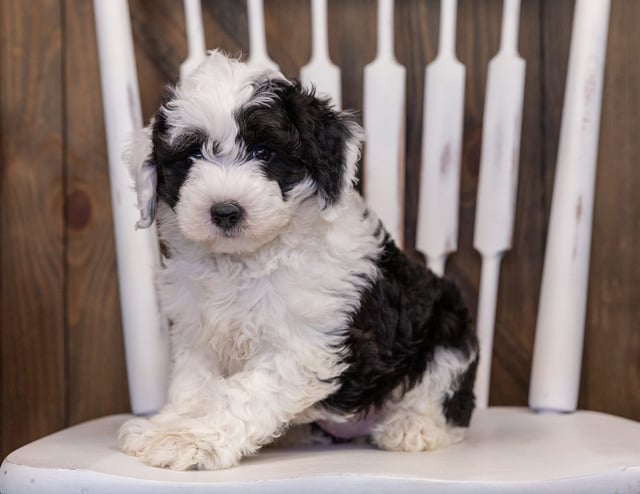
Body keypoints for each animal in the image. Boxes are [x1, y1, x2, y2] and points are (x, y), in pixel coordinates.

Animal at [120, 51, 480, 470]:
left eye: (264, 152)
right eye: (192, 155)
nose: (225, 212)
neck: (243, 260)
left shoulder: (302, 347)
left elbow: (241, 395)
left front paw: (192, 440)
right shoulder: (198, 335)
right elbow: (193, 387)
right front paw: (167, 427)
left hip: (447, 329)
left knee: (443, 395)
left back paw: (412, 427)